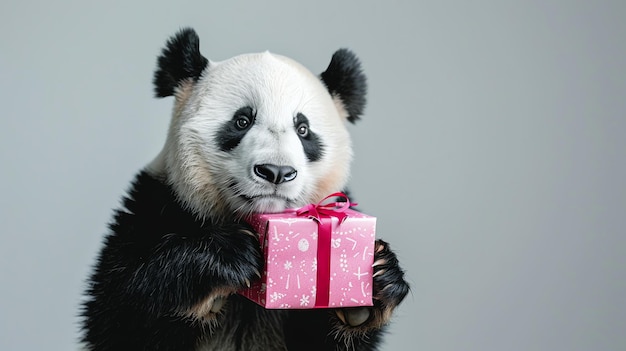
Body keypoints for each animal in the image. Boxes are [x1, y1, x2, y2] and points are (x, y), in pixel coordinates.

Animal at [80, 28, 408, 351]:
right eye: (242, 120)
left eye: (303, 130)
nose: (276, 172)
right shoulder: (155, 204)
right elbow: (121, 313)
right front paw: (228, 257)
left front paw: (376, 281)